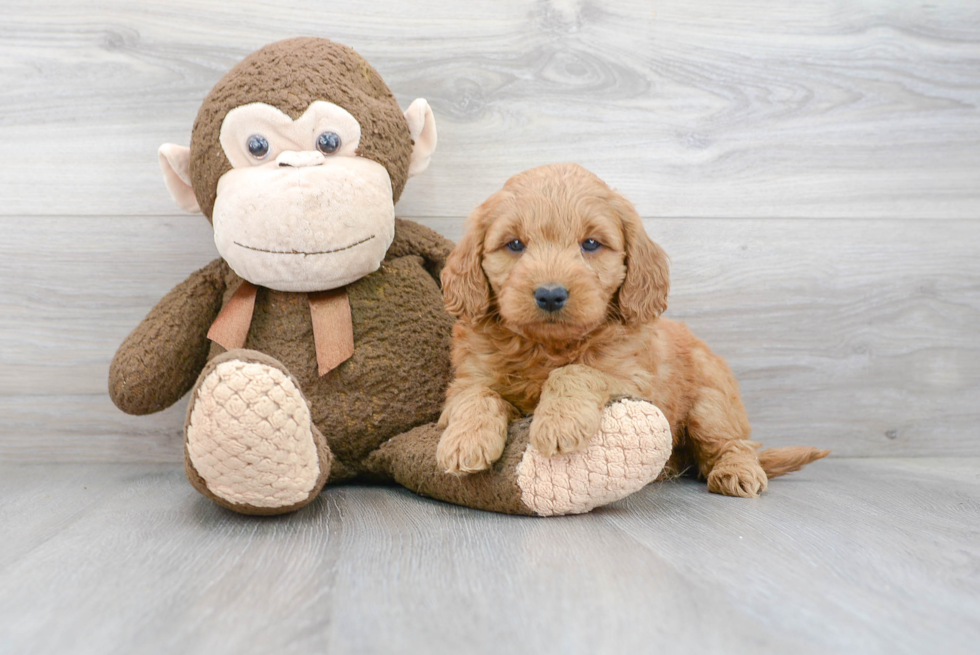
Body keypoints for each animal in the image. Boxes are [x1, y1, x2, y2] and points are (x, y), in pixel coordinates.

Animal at [436, 163, 828, 498]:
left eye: (591, 243)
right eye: (514, 244)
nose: (550, 294)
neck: (548, 347)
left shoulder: (629, 378)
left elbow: (576, 371)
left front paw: (559, 422)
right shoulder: (469, 376)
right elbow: (476, 395)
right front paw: (464, 441)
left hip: (711, 401)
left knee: (732, 443)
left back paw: (737, 472)